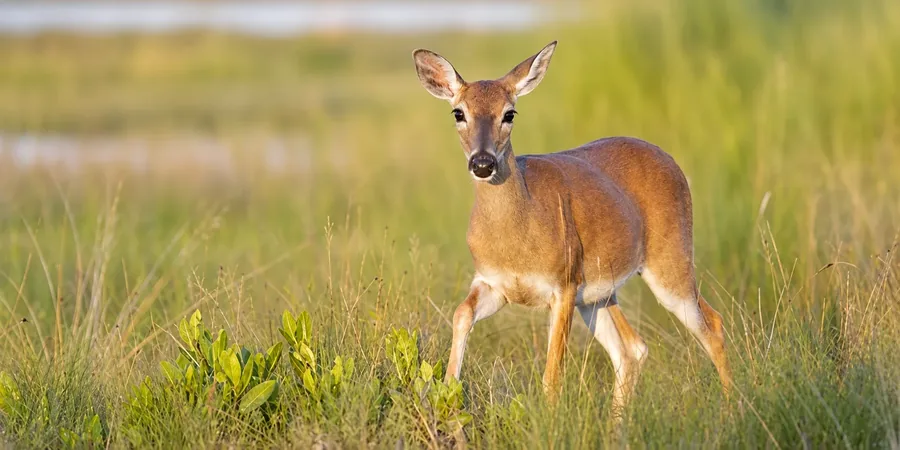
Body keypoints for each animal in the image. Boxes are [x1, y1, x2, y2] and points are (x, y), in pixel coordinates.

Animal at [411, 41, 732, 412]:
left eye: (510, 113)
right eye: (458, 113)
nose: (482, 163)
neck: (516, 238)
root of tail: (671, 161)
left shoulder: (562, 284)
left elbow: (552, 377)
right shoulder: (494, 283)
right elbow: (460, 314)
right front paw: (448, 392)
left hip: (670, 259)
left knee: (711, 324)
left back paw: (733, 410)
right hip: (598, 294)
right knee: (632, 349)